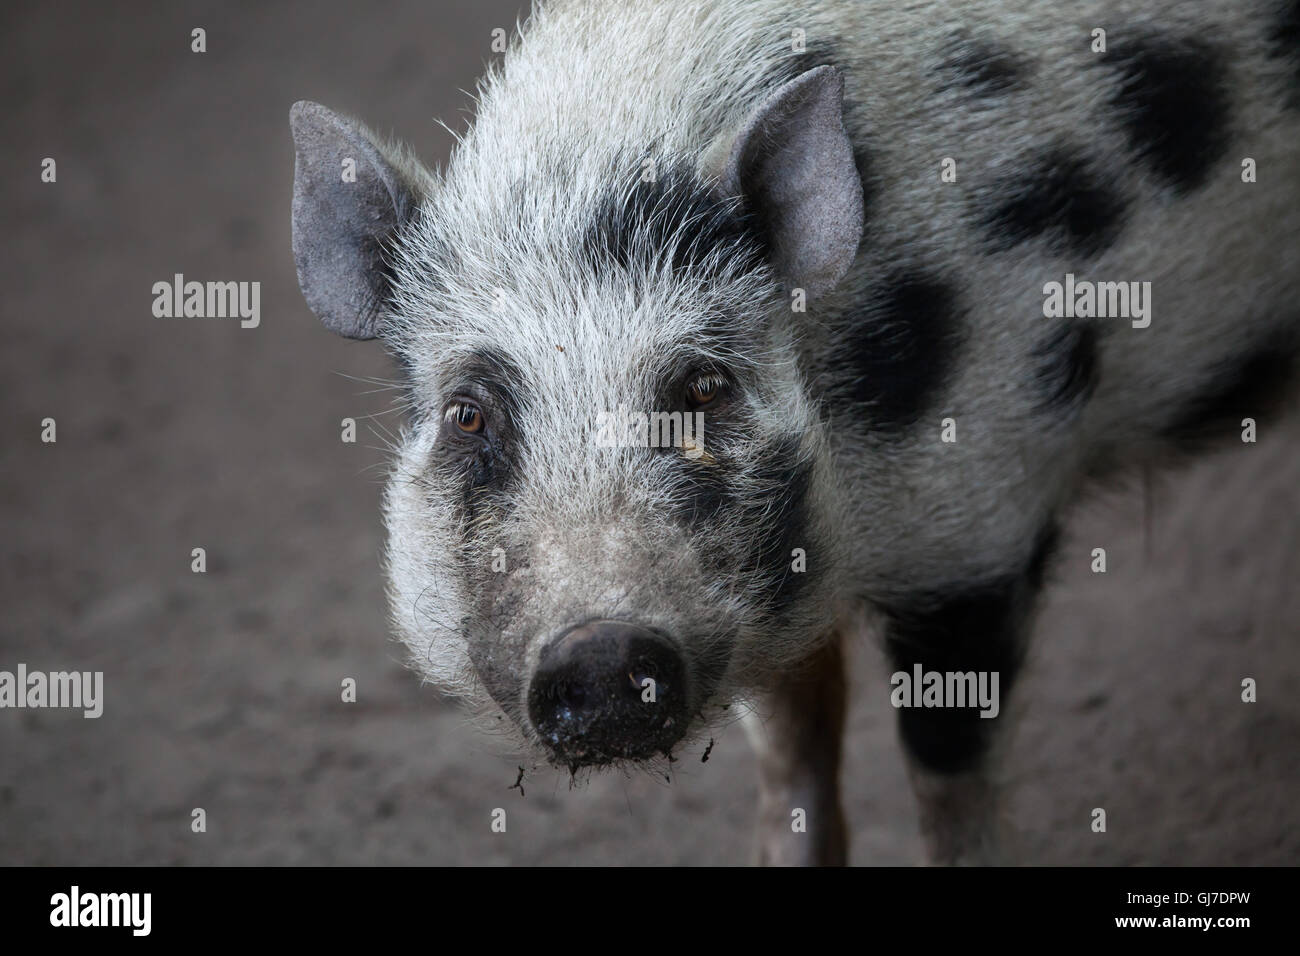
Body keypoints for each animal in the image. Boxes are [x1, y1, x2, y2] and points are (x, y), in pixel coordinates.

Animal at [292, 0, 1300, 863]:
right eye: (468, 414)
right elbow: (793, 755)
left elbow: (947, 777)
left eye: (703, 386)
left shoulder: (981, 522)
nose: (601, 647)